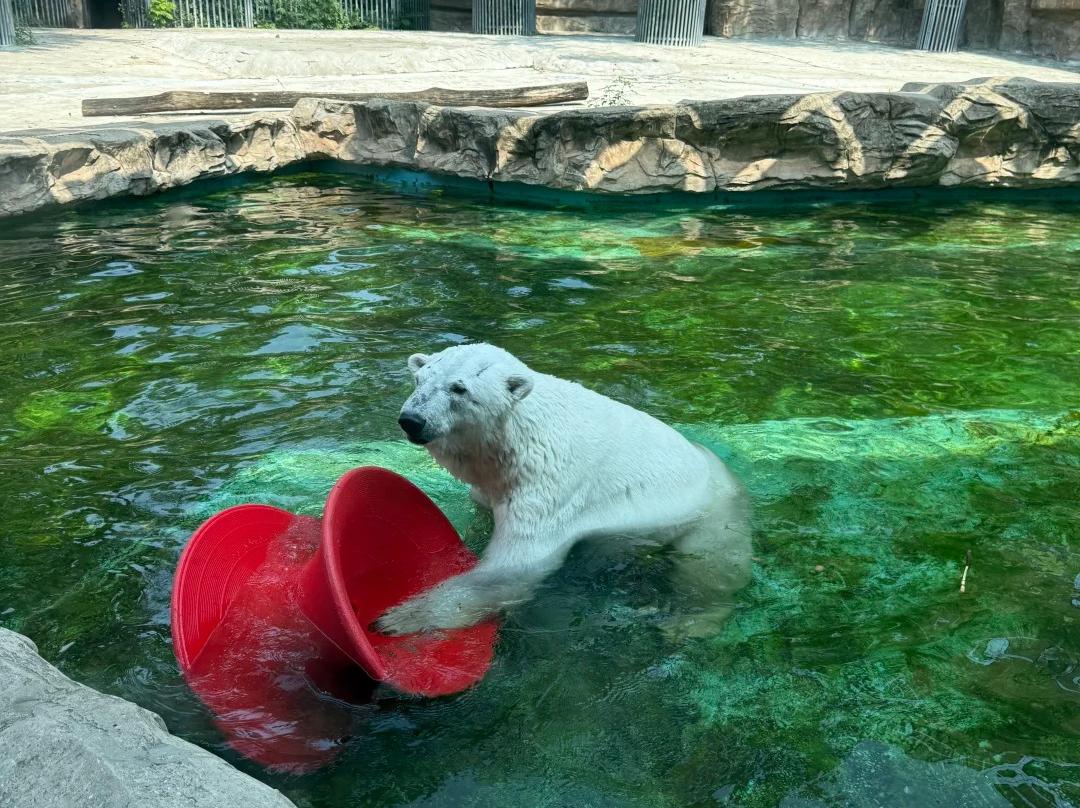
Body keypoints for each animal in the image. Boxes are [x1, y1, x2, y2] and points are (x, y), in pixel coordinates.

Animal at [375, 343, 751, 638]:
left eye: (459, 389)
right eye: (419, 379)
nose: (412, 420)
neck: (515, 439)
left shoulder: (546, 487)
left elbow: (513, 568)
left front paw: (400, 618)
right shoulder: (493, 485)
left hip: (713, 518)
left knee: (711, 568)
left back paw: (692, 621)